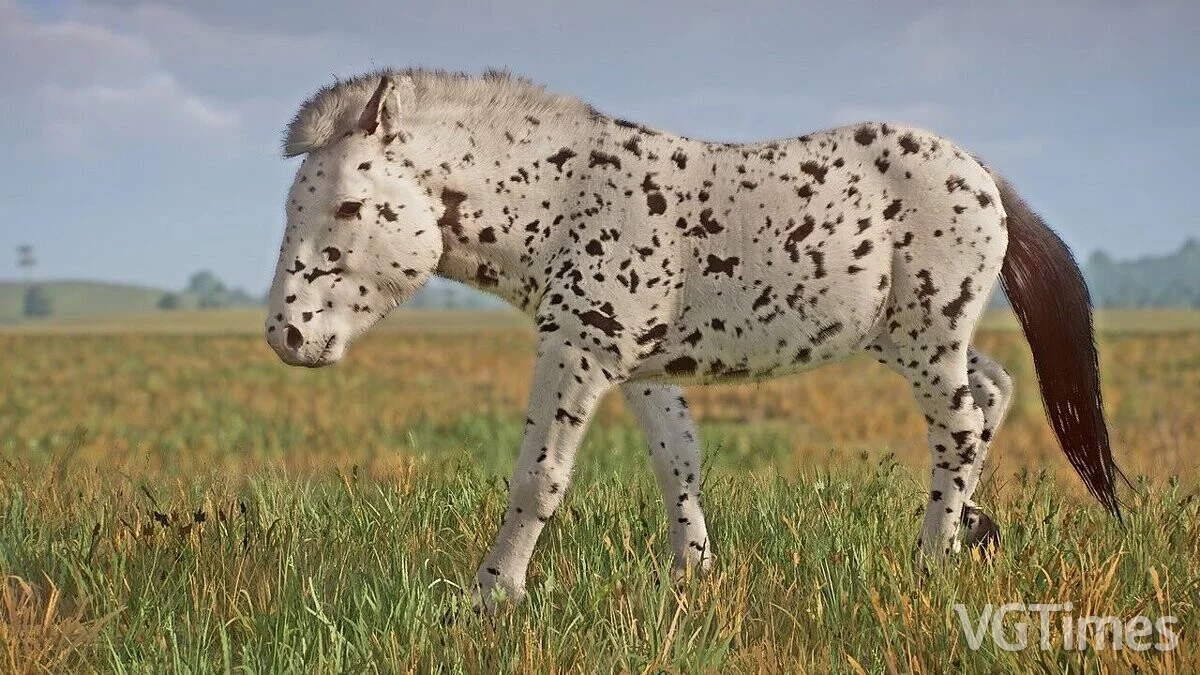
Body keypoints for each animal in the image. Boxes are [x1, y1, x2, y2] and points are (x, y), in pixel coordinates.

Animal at [265, 69, 1124, 610]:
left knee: (960, 427)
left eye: (348, 206)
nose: (287, 334)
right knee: (993, 391)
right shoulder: (640, 367)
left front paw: (491, 595)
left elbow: (538, 479)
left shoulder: (579, 352)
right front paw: (690, 577)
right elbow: (677, 459)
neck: (566, 197)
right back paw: (973, 531)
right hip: (911, 340)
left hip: (927, 341)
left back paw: (934, 558)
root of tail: (984, 174)